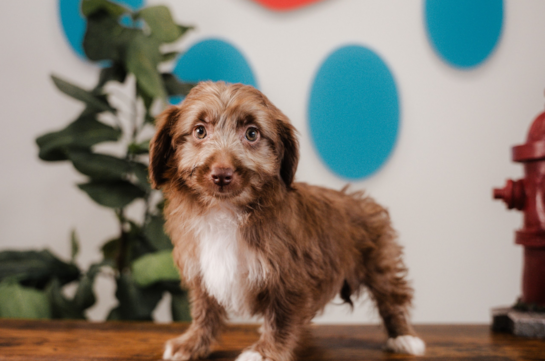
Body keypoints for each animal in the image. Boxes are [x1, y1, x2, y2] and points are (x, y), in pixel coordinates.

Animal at [149, 81, 424, 360]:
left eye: (252, 134)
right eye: (200, 131)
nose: (222, 175)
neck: (225, 210)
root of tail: (362, 199)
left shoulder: (289, 277)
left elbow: (280, 318)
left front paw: (264, 352)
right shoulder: (203, 271)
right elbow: (205, 312)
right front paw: (192, 343)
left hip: (380, 263)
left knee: (392, 298)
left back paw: (404, 337)